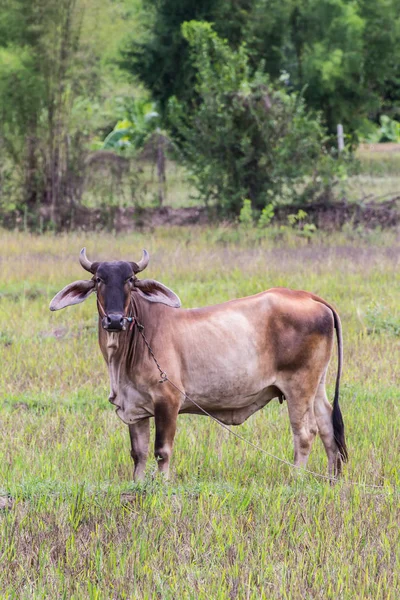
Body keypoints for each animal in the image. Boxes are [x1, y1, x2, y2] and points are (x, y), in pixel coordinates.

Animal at [50, 251, 346, 480]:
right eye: (99, 279)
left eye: (130, 280)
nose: (114, 320)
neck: (122, 355)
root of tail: (309, 297)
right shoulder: (136, 408)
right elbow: (139, 454)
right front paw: (138, 486)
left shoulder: (168, 401)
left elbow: (162, 452)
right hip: (316, 385)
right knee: (328, 427)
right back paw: (331, 480)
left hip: (298, 387)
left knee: (305, 433)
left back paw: (296, 480)